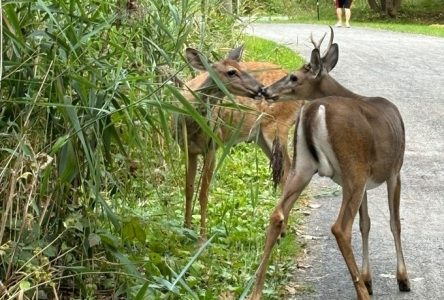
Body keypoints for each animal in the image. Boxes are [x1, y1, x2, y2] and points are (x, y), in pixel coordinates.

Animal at [175, 46, 304, 239]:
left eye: (243, 68)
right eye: (231, 72)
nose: (261, 89)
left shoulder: (213, 146)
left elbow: (204, 192)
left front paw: (202, 236)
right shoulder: (189, 150)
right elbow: (189, 189)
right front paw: (185, 228)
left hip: (277, 127)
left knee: (288, 171)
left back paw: (282, 230)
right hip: (261, 137)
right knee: (285, 172)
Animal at [251, 27, 412, 298]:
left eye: (293, 77)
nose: (265, 91)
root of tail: (313, 110)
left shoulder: (371, 179)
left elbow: (366, 224)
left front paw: (369, 278)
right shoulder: (394, 170)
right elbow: (394, 222)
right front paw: (402, 279)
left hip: (305, 167)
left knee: (277, 214)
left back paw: (256, 291)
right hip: (353, 169)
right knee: (340, 228)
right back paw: (362, 292)